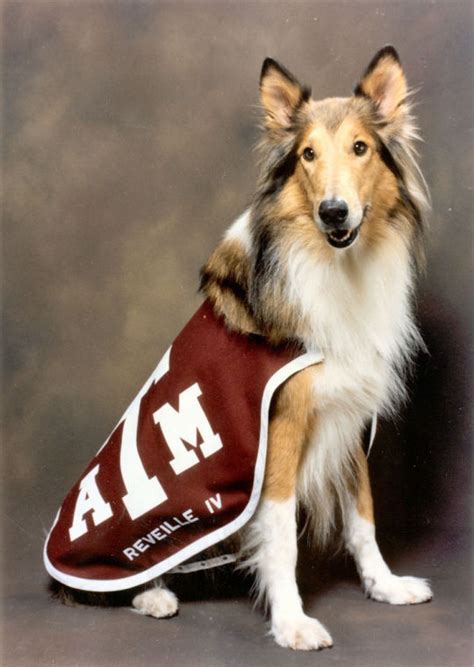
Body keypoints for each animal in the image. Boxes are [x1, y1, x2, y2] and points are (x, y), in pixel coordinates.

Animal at [50, 48, 432, 652]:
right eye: (307, 155)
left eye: (360, 148)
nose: (334, 212)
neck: (333, 265)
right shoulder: (281, 429)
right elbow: (281, 536)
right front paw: (292, 622)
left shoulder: (345, 417)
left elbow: (363, 517)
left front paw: (385, 586)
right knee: (121, 579)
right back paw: (153, 596)